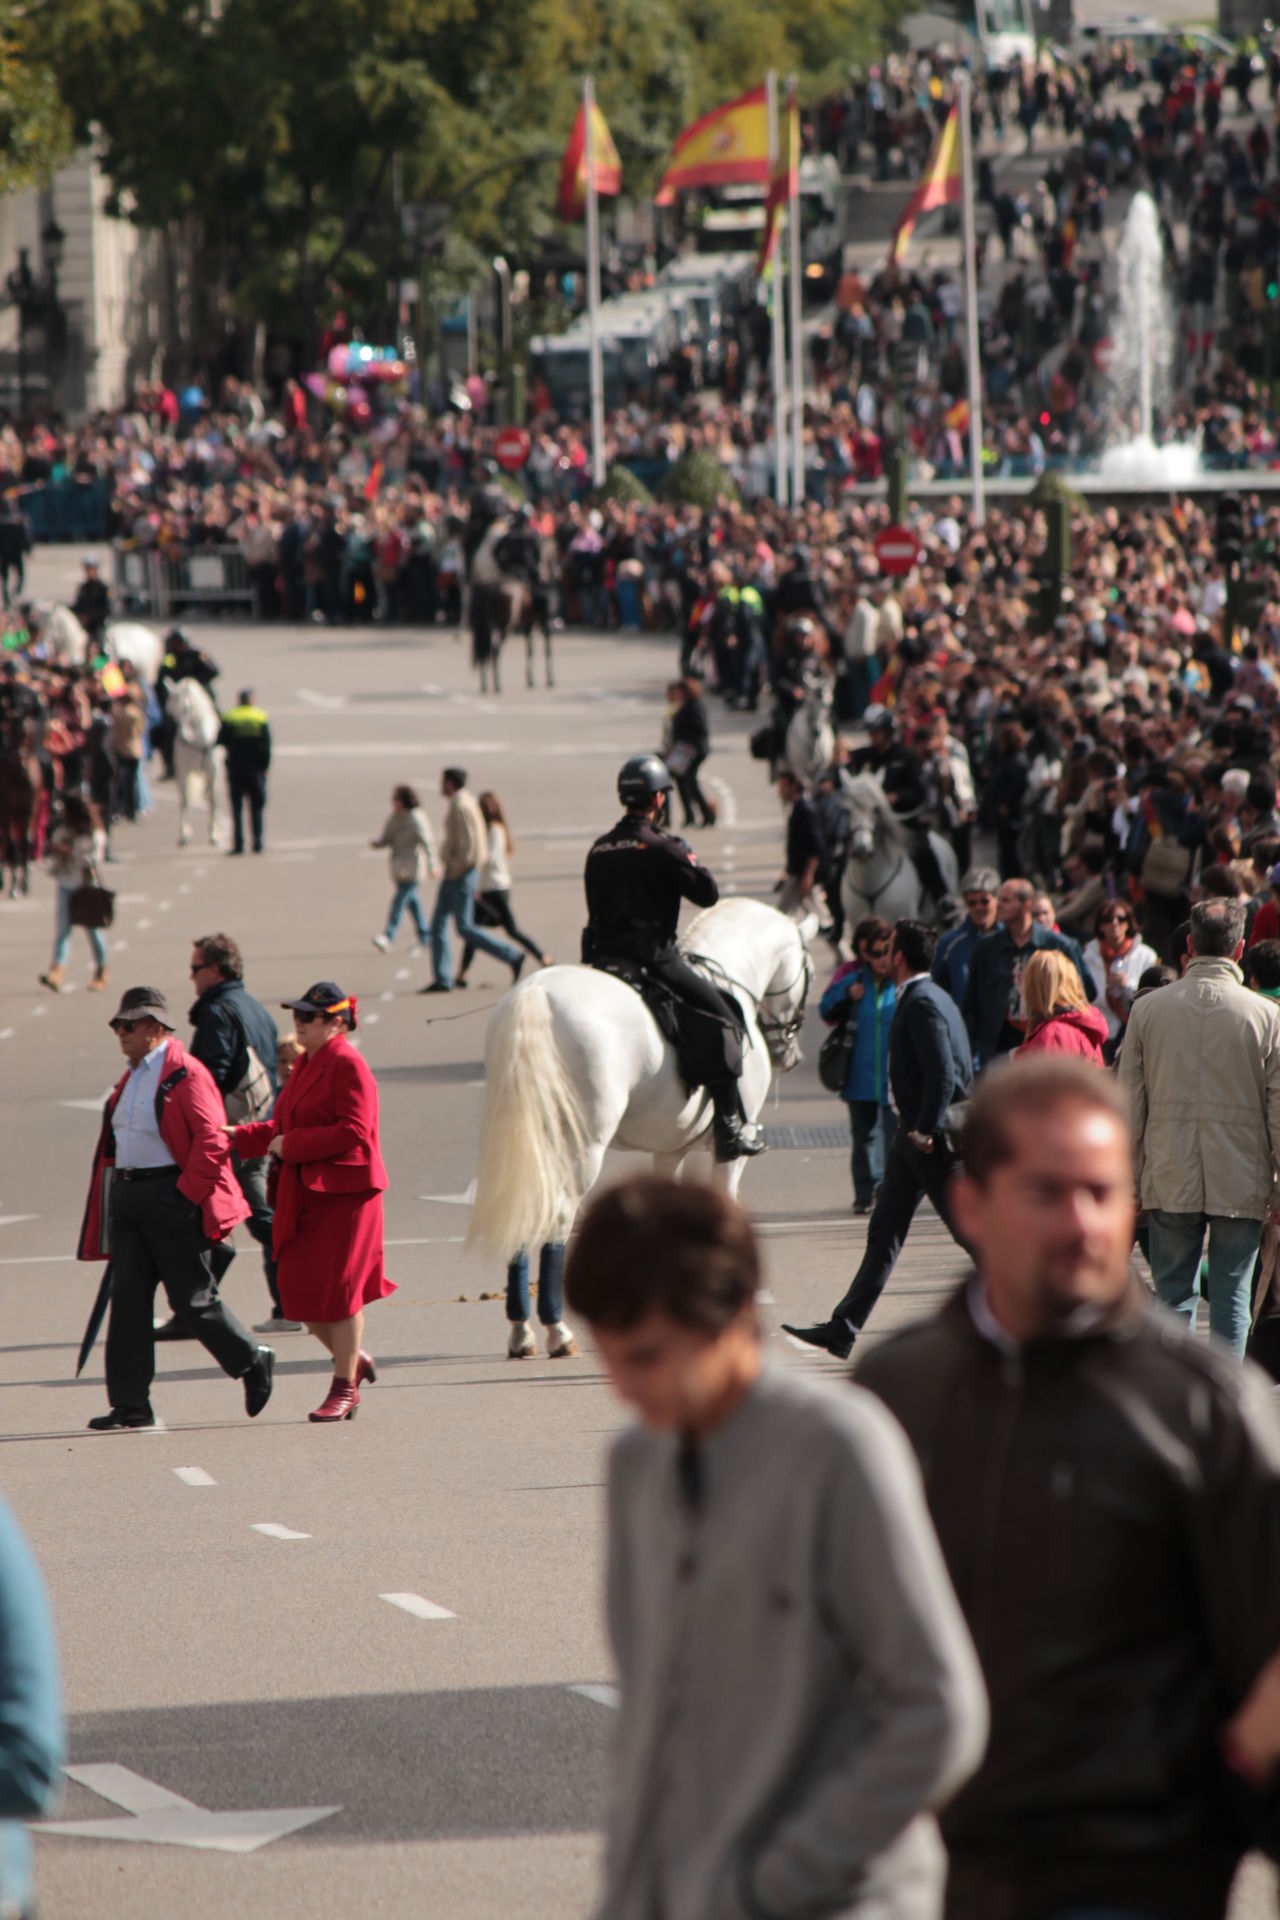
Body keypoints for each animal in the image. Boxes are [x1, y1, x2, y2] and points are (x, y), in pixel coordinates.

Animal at [168, 683, 221, 848]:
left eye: (187, 708)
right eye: (171, 712)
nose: (184, 738)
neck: (198, 740)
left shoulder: (213, 772)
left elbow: (213, 800)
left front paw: (214, 834)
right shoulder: (183, 772)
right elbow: (184, 800)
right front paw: (184, 834)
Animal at [466, 902, 817, 1274]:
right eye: (810, 972)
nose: (789, 1054)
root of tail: (537, 992)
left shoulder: (670, 1149)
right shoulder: (729, 1154)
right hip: (583, 1146)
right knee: (559, 1217)